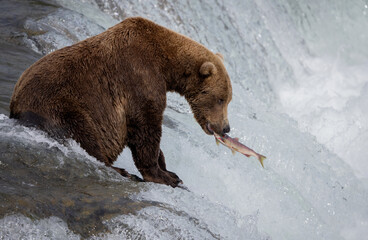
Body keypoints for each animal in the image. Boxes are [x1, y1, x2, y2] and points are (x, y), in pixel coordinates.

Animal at [10, 16, 231, 188]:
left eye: (229, 99)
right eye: (221, 99)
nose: (226, 128)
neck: (166, 65)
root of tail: (14, 106)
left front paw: (170, 171)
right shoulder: (139, 77)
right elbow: (145, 127)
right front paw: (166, 177)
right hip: (61, 106)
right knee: (85, 135)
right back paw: (122, 171)